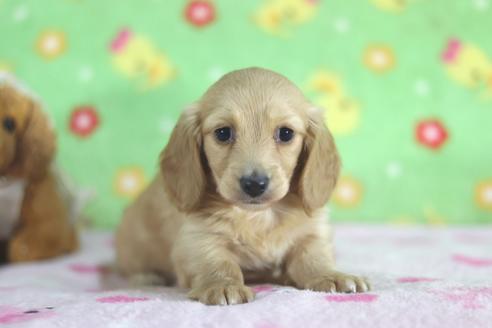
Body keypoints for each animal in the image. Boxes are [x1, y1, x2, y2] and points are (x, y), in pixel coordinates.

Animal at [116, 66, 368, 304]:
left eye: (286, 133)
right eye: (223, 133)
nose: (254, 184)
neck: (259, 216)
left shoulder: (312, 232)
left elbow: (313, 257)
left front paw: (331, 275)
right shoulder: (197, 238)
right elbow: (217, 262)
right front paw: (223, 284)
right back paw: (147, 276)